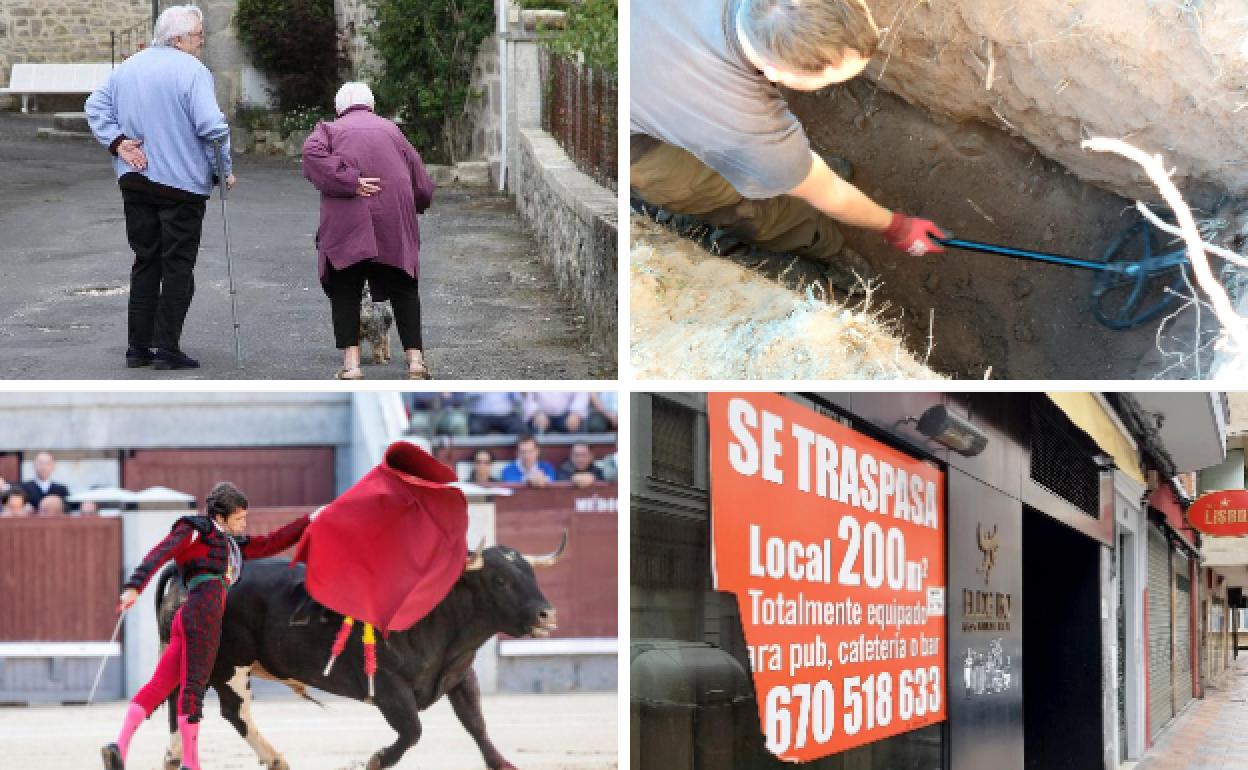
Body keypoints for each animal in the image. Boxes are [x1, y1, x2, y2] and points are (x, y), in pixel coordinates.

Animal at [151, 536, 566, 768]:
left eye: (531, 574)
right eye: (500, 579)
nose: (546, 614)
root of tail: (186, 574)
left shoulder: (460, 675)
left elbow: (476, 724)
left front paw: (504, 764)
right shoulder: (387, 686)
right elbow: (412, 730)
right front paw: (376, 760)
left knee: (188, 702)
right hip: (226, 663)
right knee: (226, 709)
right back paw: (269, 758)